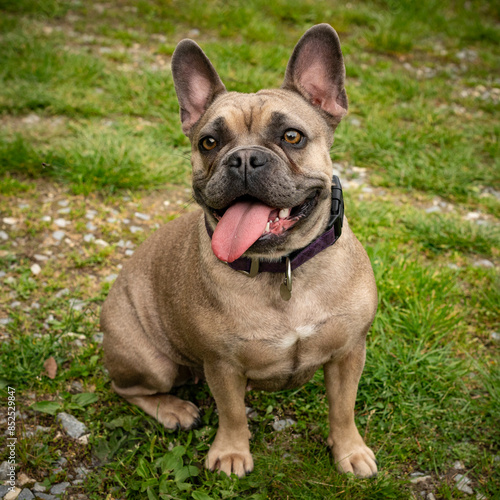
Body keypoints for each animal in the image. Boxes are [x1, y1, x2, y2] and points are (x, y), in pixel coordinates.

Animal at [99, 22, 376, 476]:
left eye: (292, 137)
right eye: (209, 143)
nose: (244, 158)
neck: (282, 267)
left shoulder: (349, 352)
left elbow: (343, 408)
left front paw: (350, 451)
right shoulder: (223, 365)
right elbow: (231, 412)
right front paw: (231, 453)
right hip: (151, 361)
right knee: (128, 388)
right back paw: (175, 409)